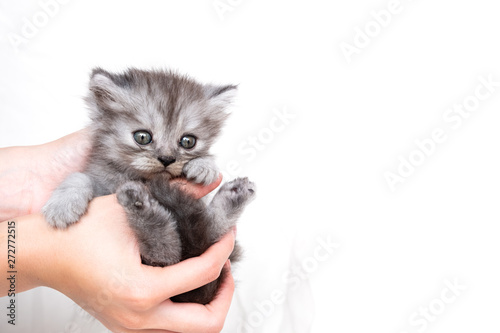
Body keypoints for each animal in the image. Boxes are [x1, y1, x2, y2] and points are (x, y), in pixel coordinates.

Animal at [41, 67, 256, 304]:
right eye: (142, 137)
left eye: (188, 141)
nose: (167, 159)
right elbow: (79, 177)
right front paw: (63, 205)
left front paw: (204, 165)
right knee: (168, 254)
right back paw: (141, 205)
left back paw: (233, 196)